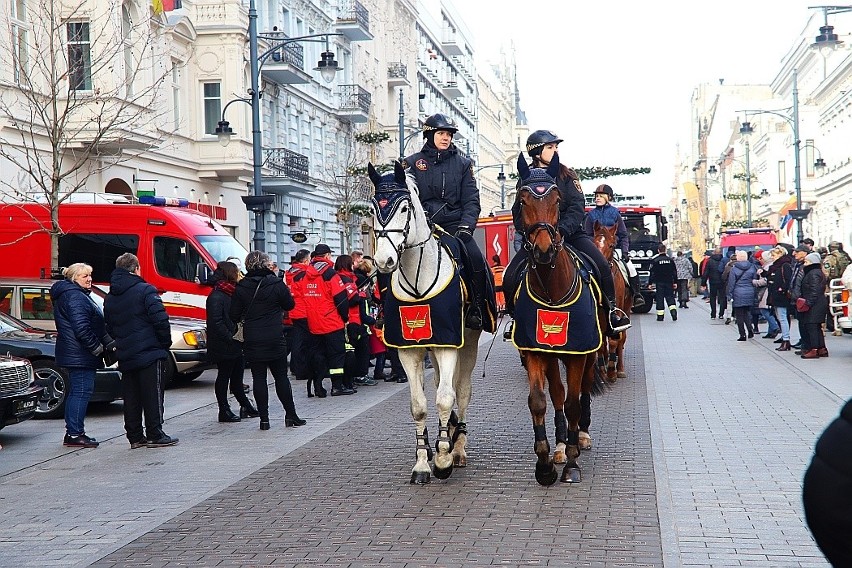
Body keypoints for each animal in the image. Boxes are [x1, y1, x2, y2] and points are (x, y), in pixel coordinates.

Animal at [370, 160, 482, 484]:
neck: (419, 282)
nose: (384, 261)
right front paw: (422, 462)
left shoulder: (448, 344)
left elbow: (446, 398)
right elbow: (419, 406)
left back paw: (458, 447)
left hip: (468, 344)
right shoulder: (409, 351)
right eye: (373, 207)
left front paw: (444, 459)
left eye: (404, 207)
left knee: (462, 391)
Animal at [592, 222, 632, 382]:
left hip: (626, 309)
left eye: (611, 245)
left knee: (622, 338)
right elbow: (602, 342)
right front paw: (603, 370)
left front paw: (611, 371)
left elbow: (616, 340)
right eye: (593, 243)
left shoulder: (618, 312)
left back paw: (619, 368)